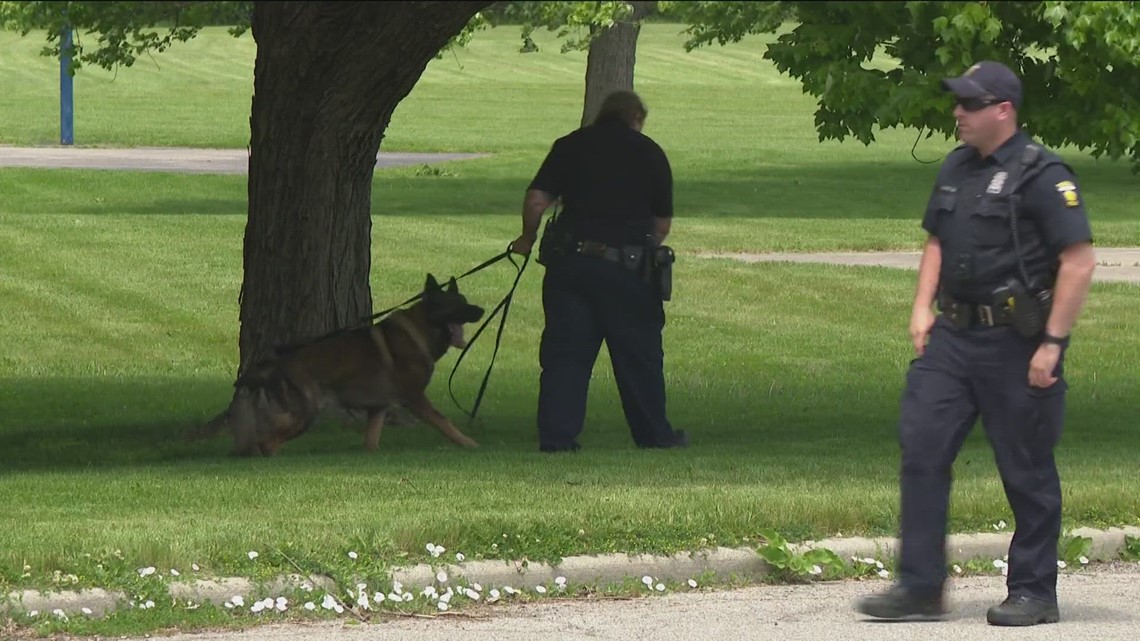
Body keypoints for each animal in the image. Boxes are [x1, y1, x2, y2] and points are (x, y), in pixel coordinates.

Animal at [201, 273, 485, 453]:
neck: (422, 329)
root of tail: (278, 362)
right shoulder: (415, 398)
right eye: (456, 305)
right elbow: (444, 422)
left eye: (465, 301)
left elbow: (371, 442)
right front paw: (468, 443)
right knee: (268, 442)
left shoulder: (378, 408)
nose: (481, 310)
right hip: (305, 413)